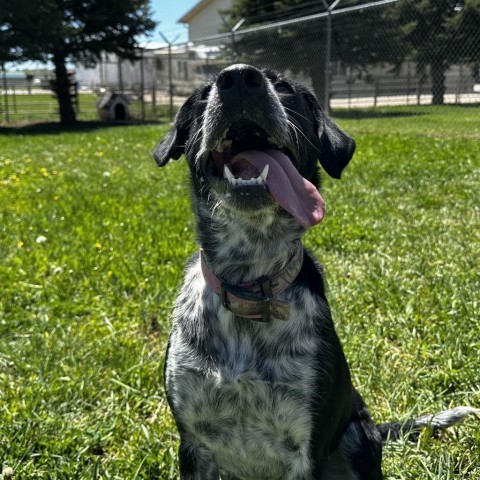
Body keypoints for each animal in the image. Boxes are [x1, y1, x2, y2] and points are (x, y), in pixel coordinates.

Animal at [155, 64, 480, 480]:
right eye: (202, 95)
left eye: (284, 87)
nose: (239, 78)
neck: (251, 287)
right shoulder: (193, 446)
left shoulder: (307, 451)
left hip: (359, 437)